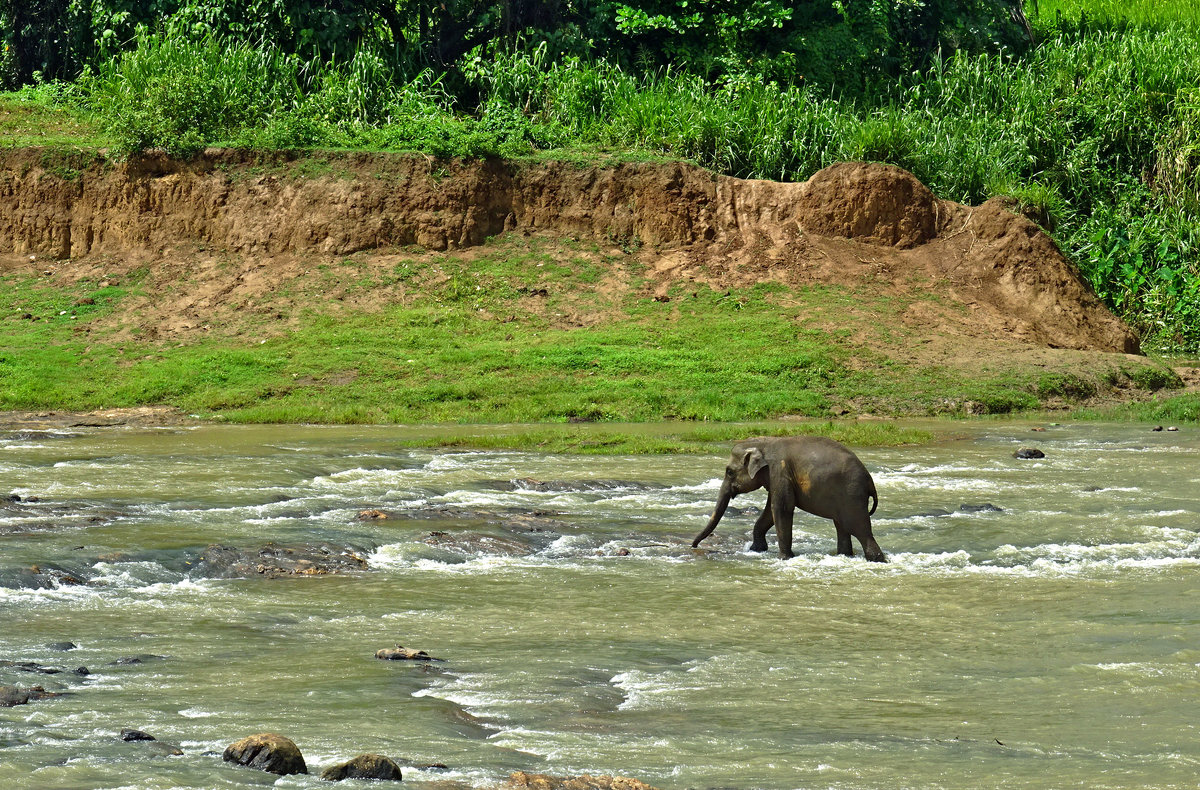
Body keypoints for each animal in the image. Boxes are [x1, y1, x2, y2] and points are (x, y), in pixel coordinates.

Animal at [696, 434, 883, 557]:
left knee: (859, 530)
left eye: (729, 472)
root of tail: (870, 481)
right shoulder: (775, 478)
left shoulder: (780, 471)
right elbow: (769, 512)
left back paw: (876, 559)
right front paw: (756, 550)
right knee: (842, 528)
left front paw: (785, 558)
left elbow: (781, 509)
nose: (694, 546)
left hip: (852, 495)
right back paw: (844, 555)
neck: (764, 443)